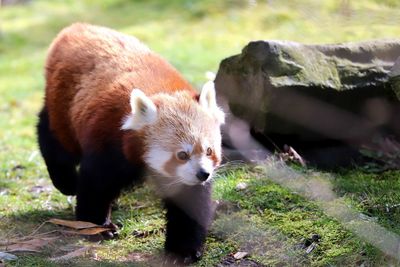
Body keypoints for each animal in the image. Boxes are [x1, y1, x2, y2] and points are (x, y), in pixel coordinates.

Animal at [36, 23, 225, 264]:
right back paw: (66, 180)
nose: (203, 174)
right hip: (63, 104)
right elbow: (96, 184)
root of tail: (79, 27)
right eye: (182, 154)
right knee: (54, 139)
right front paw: (97, 227)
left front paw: (183, 249)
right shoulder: (109, 141)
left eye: (209, 150)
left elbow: (189, 204)